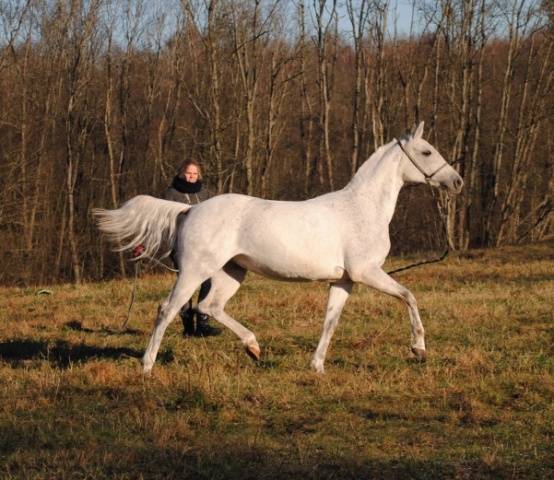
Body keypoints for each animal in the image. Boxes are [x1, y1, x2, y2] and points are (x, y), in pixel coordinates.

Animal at [94, 122, 462, 374]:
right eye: (427, 151)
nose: (456, 182)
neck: (361, 209)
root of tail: (190, 210)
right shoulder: (367, 272)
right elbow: (409, 296)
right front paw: (419, 349)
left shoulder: (344, 280)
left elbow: (331, 321)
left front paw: (317, 366)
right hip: (195, 272)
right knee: (169, 309)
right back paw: (147, 365)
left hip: (231, 273)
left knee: (209, 306)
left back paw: (254, 348)